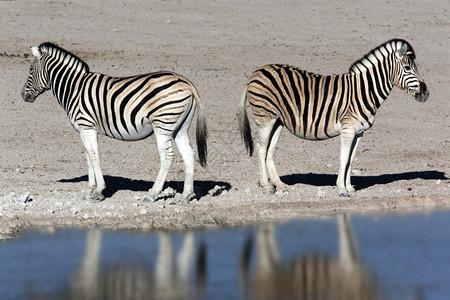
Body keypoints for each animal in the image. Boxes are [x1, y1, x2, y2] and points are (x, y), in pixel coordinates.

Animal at [22, 42, 208, 204]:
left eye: (31, 69)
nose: (23, 95)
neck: (74, 88)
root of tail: (186, 81)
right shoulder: (85, 129)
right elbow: (88, 157)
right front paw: (89, 190)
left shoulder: (86, 126)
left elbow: (94, 156)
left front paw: (99, 191)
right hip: (180, 128)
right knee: (189, 154)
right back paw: (185, 196)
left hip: (162, 124)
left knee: (167, 156)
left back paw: (152, 194)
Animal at [239, 38, 428, 197]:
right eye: (407, 69)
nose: (426, 93)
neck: (364, 91)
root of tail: (255, 73)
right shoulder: (348, 129)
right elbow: (344, 157)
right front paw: (342, 189)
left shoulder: (359, 132)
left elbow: (351, 159)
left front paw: (350, 188)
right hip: (265, 118)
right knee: (261, 148)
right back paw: (266, 186)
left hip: (278, 121)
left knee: (269, 150)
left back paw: (279, 184)